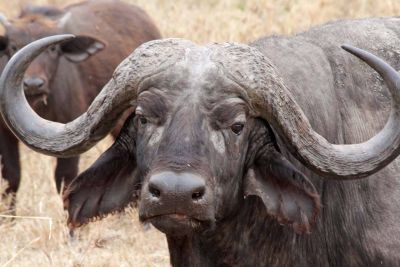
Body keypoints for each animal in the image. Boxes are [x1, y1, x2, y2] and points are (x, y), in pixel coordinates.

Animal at [0, 0, 161, 201]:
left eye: (53, 49)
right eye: (13, 46)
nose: (33, 84)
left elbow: (65, 179)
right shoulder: (4, 134)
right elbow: (11, 177)